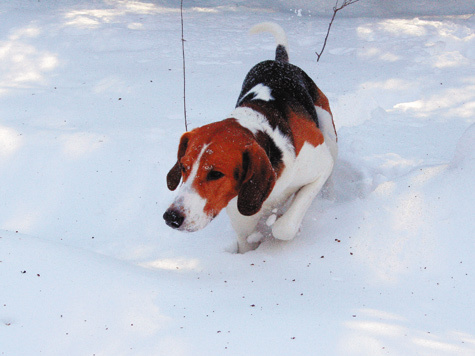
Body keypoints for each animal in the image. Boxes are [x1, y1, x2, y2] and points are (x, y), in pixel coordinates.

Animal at [164, 22, 338, 253]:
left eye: (216, 174)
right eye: (184, 167)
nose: (171, 217)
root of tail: (278, 62)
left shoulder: (320, 166)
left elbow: (284, 227)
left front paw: (281, 224)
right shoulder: (240, 212)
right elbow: (246, 237)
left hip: (328, 131)